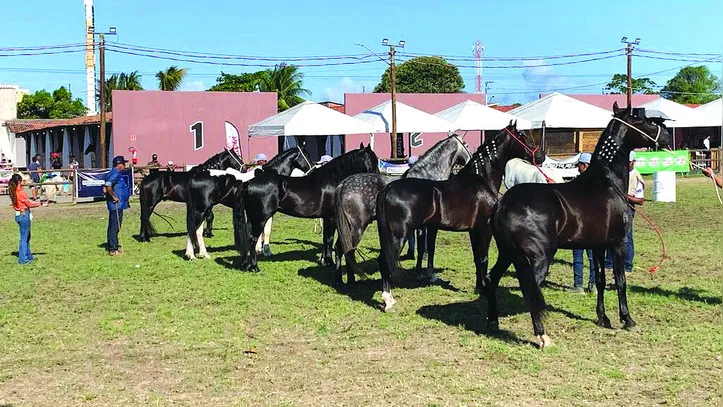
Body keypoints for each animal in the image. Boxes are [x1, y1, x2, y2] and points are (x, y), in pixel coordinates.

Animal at [184, 147, 312, 260]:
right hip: (201, 209)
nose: (312, 169)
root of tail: (195, 177)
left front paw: (258, 249)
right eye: (306, 155)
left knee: (197, 231)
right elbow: (266, 230)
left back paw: (203, 254)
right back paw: (191, 255)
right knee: (193, 229)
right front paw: (266, 251)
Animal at [233, 145, 382, 272]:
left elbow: (325, 239)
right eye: (371, 160)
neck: (332, 180)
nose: (378, 177)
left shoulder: (326, 218)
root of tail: (248, 183)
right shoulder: (331, 218)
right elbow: (329, 239)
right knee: (252, 239)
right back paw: (254, 267)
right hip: (260, 218)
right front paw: (329, 262)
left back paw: (246, 265)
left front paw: (324, 261)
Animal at [336, 135, 472, 286]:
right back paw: (351, 280)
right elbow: (430, 248)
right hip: (356, 228)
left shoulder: (420, 227)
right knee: (348, 250)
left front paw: (419, 273)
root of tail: (343, 185)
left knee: (340, 248)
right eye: (466, 145)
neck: (427, 176)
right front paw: (430, 275)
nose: (471, 158)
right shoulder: (431, 226)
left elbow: (420, 248)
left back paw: (340, 280)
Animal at [378, 122, 544, 312]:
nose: (540, 156)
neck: (481, 180)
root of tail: (389, 188)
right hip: (399, 235)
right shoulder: (484, 229)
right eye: (522, 135)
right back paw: (388, 300)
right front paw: (484, 288)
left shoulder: (473, 230)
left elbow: (477, 258)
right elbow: (484, 258)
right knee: (385, 261)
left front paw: (479, 286)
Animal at [486, 103, 672, 350]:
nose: (667, 136)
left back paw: (492, 321)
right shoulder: (618, 244)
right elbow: (620, 281)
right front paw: (627, 320)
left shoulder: (598, 246)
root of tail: (504, 203)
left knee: (492, 279)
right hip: (540, 256)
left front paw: (603, 318)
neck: (607, 182)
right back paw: (542, 336)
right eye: (642, 120)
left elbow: (601, 280)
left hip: (507, 252)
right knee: (530, 288)